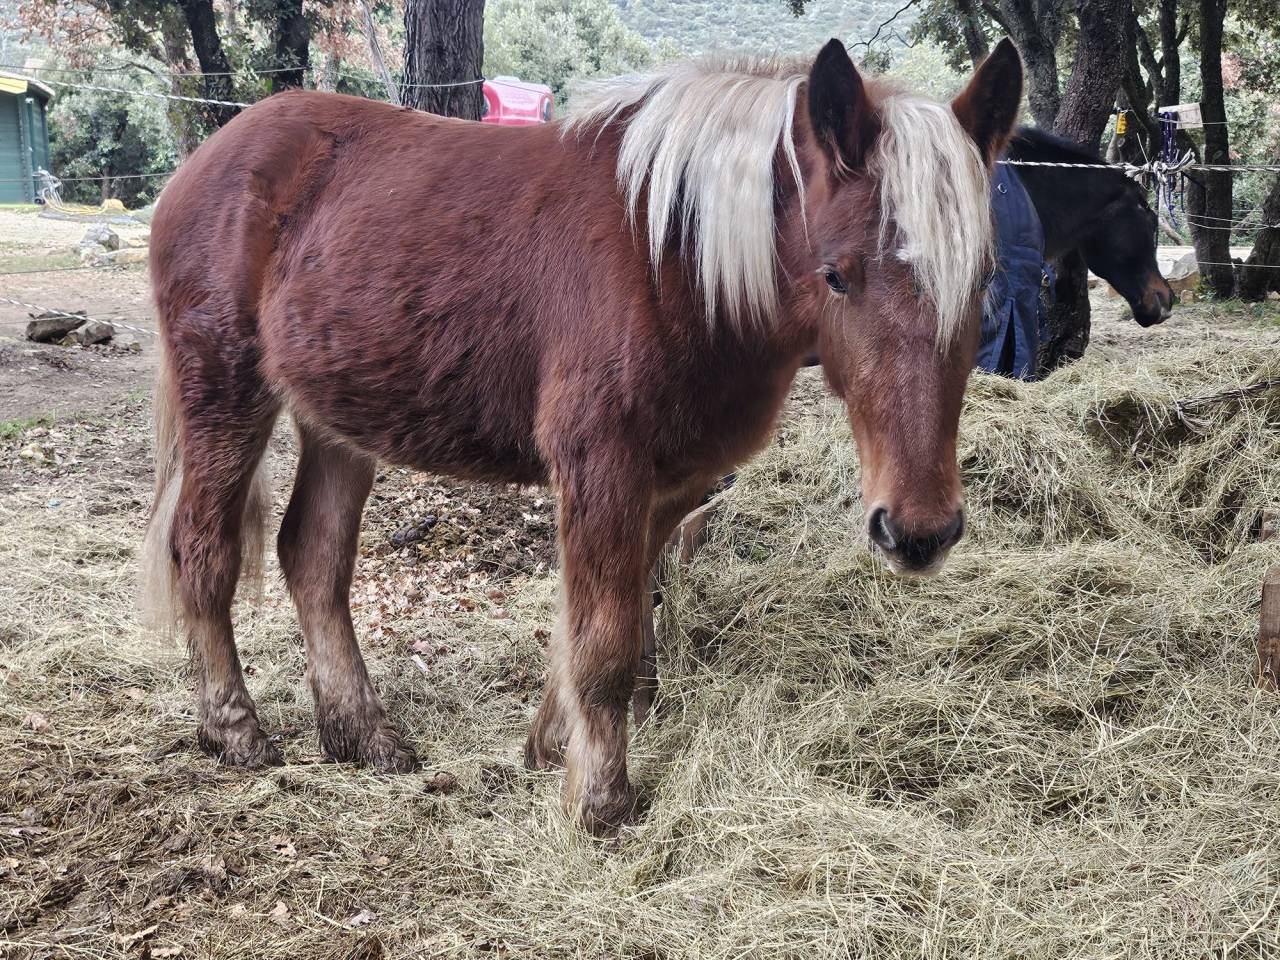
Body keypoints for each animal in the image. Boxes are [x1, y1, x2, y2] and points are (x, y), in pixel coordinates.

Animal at [142, 37, 1023, 835]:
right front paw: (600, 804)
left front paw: (547, 750)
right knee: (204, 550)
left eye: (983, 280)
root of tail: (208, 158)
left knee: (313, 558)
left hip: (340, 420)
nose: (917, 533)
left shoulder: (667, 489)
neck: (673, 258)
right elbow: (606, 647)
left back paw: (363, 735)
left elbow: (595, 633)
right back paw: (234, 728)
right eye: (836, 274)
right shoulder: (603, 471)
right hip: (227, 395)